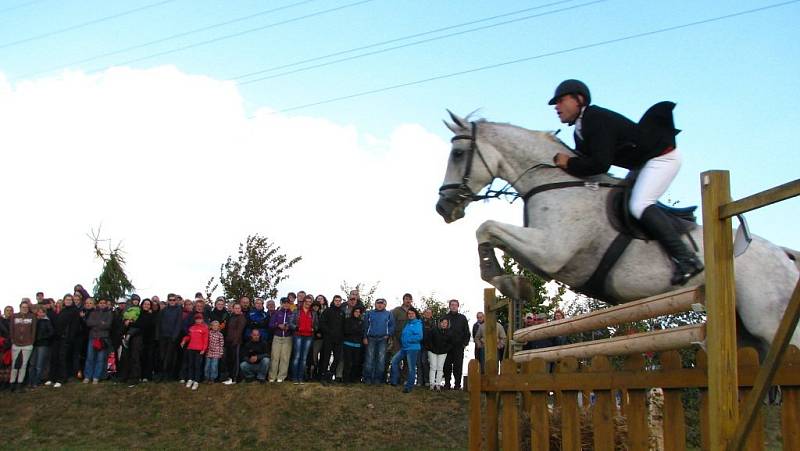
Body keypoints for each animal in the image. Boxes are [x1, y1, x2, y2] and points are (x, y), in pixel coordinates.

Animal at [438, 111, 800, 354]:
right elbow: (488, 234)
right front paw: (509, 281)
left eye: (458, 154)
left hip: (770, 323)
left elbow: (486, 227)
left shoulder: (552, 251)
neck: (553, 180)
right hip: (745, 332)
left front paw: (508, 281)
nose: (443, 207)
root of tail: (784, 255)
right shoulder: (545, 257)